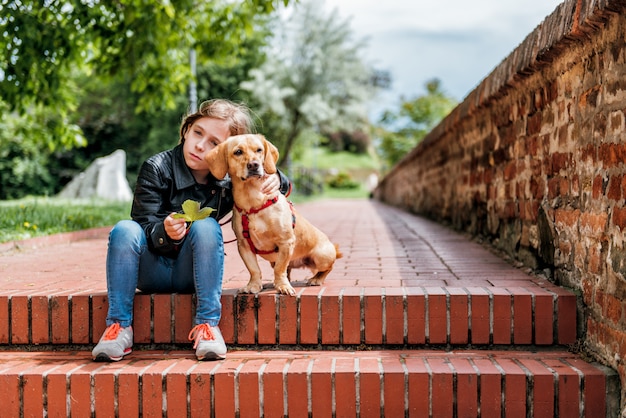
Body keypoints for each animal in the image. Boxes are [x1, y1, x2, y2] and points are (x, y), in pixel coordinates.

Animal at [205, 132, 342, 296]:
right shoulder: (244, 246)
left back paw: (315, 279)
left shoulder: (285, 242)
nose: (254, 165)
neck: (253, 202)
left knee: (327, 268)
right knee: (288, 270)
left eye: (259, 150)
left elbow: (280, 268)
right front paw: (254, 286)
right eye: (238, 152)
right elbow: (254, 269)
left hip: (322, 257)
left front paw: (283, 286)